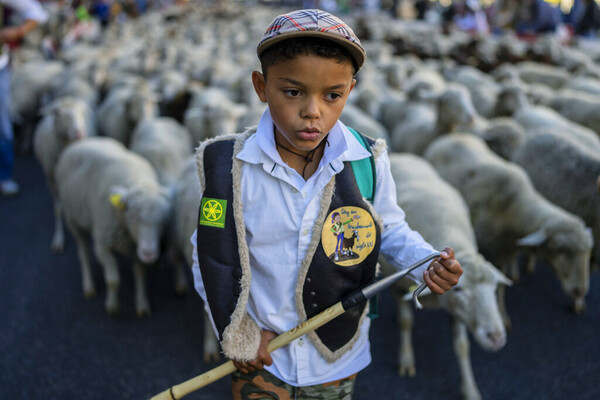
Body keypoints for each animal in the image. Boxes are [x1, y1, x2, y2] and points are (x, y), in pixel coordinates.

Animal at [32, 97, 95, 253]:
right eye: (59, 113)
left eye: (82, 112)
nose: (79, 133)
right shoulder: (51, 179)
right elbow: (57, 208)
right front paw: (58, 237)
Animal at [54, 138, 171, 316]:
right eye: (134, 217)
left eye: (162, 221)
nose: (150, 255)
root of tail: (84, 140)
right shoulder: (103, 244)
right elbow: (113, 280)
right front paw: (112, 307)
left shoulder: (135, 247)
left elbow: (140, 274)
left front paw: (142, 304)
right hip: (72, 219)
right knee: (83, 252)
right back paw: (88, 286)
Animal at [384, 152, 510, 400]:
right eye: (459, 289)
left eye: (494, 288)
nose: (496, 338)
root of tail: (402, 155)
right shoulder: (396, 287)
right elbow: (405, 322)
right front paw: (406, 358)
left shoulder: (456, 310)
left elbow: (462, 346)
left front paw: (470, 390)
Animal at [424, 133, 592, 324]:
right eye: (561, 249)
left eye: (588, 252)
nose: (580, 290)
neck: (514, 206)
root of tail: (452, 135)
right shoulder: (491, 253)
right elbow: (498, 287)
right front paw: (503, 316)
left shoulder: (506, 249)